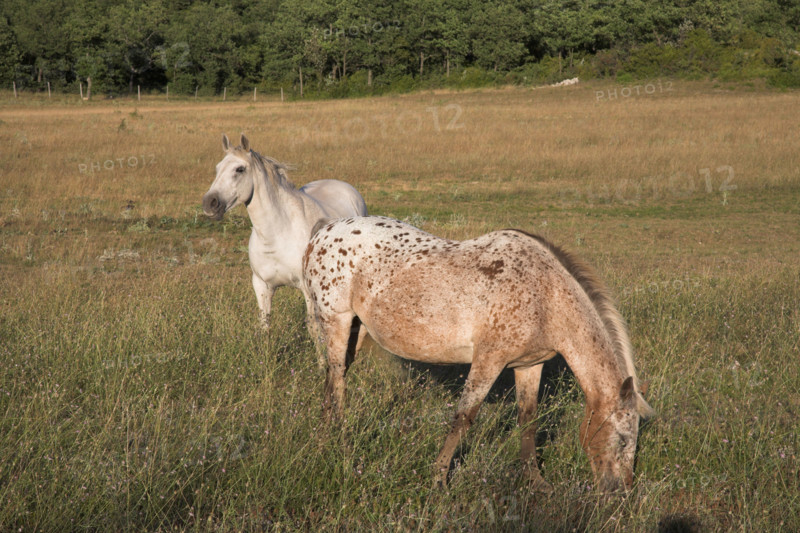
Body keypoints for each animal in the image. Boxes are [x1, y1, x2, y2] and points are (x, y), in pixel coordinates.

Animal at [202, 134, 367, 345]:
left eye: (239, 169)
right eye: (217, 168)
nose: (209, 203)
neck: (277, 234)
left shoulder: (307, 289)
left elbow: (314, 330)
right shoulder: (262, 286)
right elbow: (264, 324)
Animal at [302, 215, 655, 492]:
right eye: (623, 439)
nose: (620, 491)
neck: (546, 295)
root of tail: (323, 231)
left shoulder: (530, 365)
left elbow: (528, 420)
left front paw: (535, 482)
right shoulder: (489, 360)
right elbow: (463, 418)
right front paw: (438, 481)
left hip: (356, 330)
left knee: (332, 380)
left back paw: (326, 437)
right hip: (335, 321)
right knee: (336, 382)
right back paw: (339, 444)